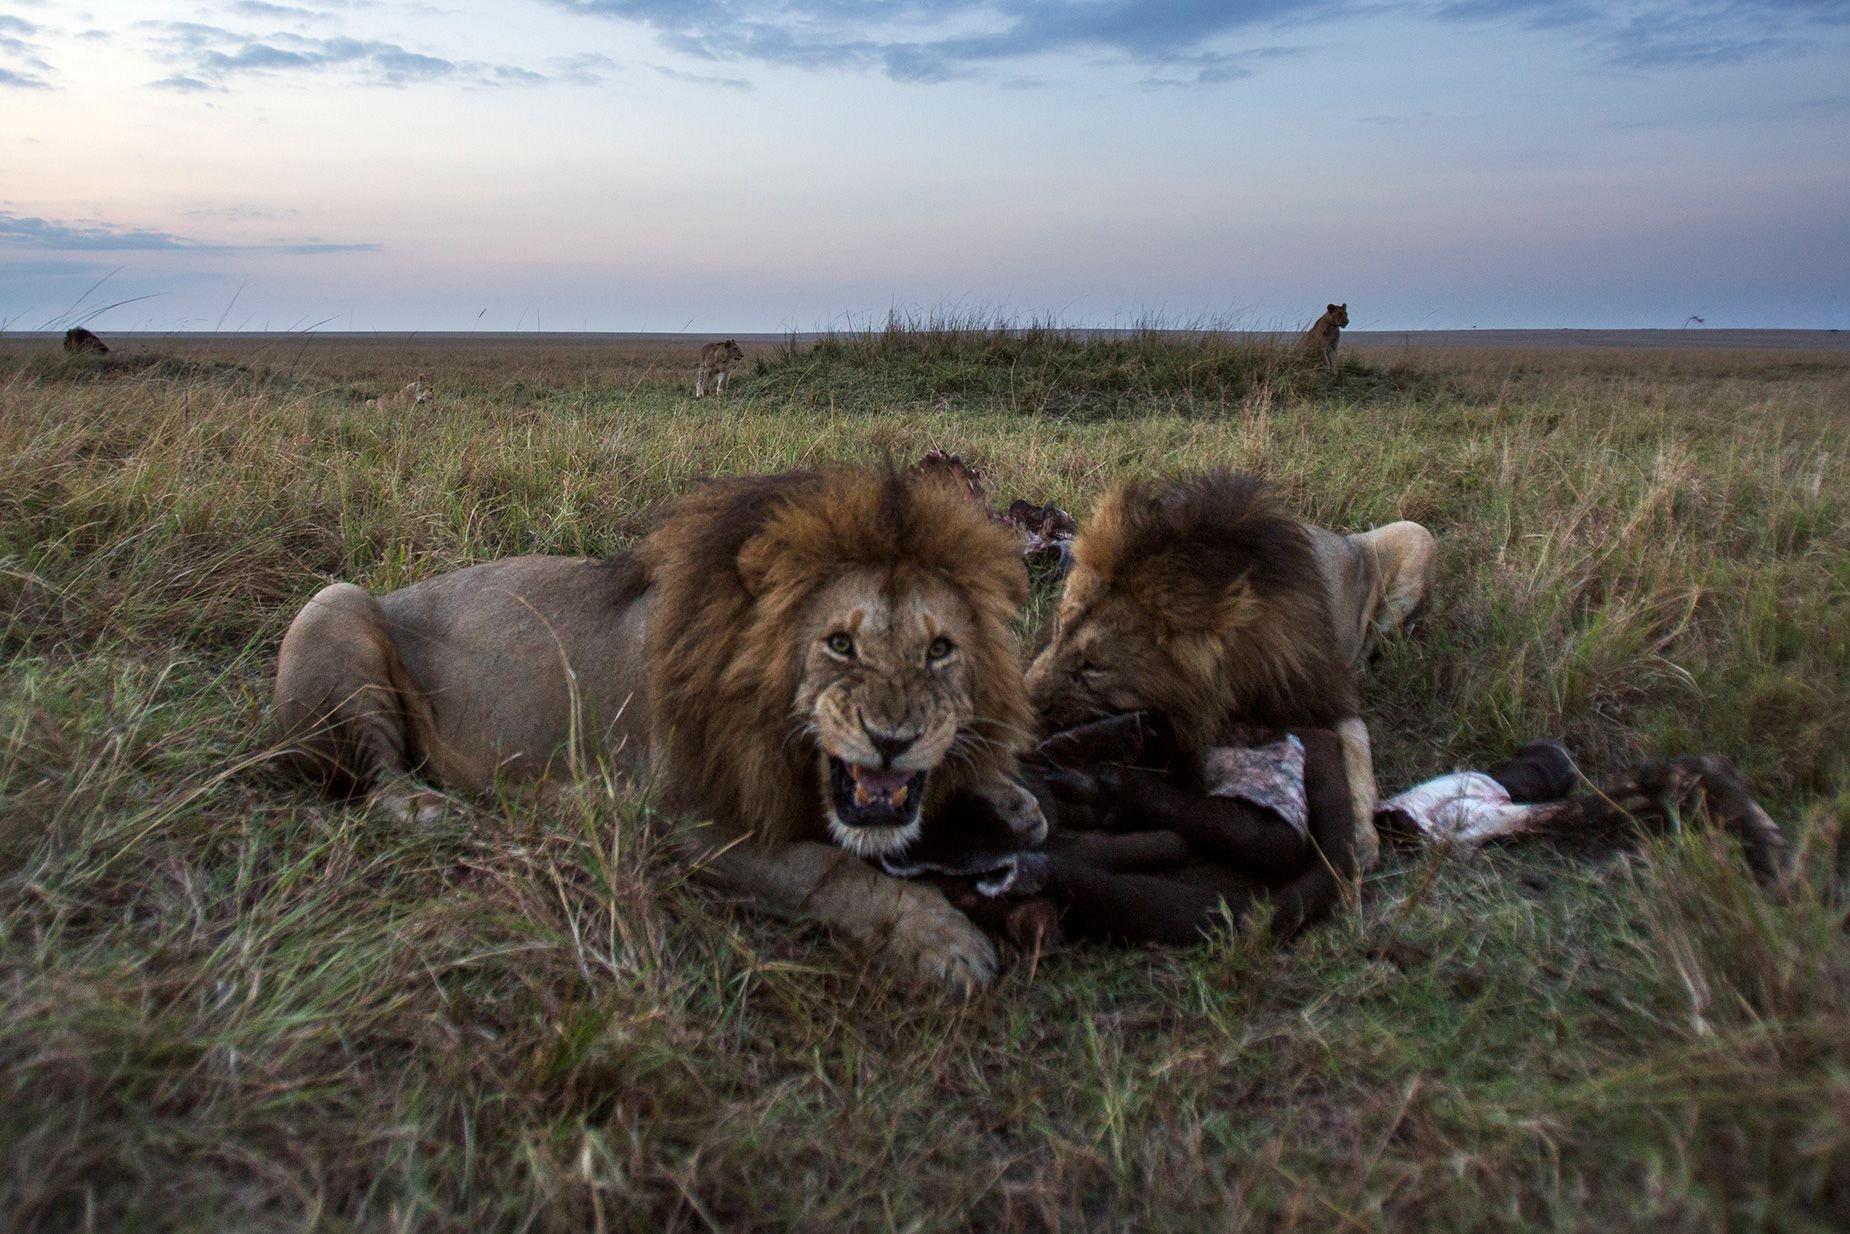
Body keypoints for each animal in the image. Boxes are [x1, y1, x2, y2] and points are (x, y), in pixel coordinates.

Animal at [272, 467, 1044, 996]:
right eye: (839, 645)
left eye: (939, 649)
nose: (893, 738)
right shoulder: (688, 821)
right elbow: (831, 871)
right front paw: (940, 935)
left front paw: (1010, 799)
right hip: (334, 604)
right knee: (377, 785)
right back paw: (447, 811)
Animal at [1023, 472, 1432, 873]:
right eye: (1058, 629)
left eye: (1093, 667)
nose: (1025, 703)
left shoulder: (1324, 694)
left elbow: (1356, 754)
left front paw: (1359, 841)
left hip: (1416, 534)